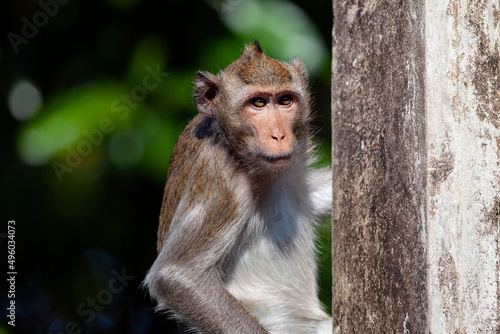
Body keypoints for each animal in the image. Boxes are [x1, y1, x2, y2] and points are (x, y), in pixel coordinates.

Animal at [145, 42, 332, 334]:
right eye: (258, 103)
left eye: (285, 100)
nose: (279, 135)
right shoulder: (221, 184)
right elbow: (175, 276)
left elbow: (313, 196)